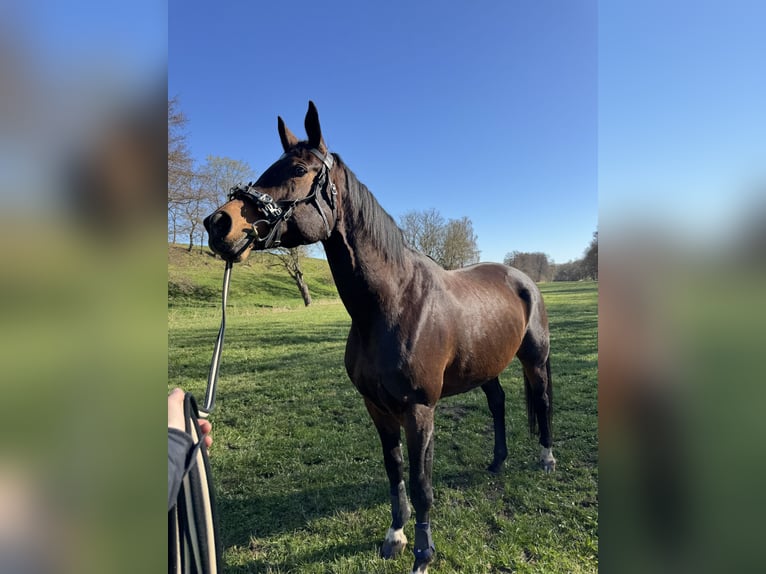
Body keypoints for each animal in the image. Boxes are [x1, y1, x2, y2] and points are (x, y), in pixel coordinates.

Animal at [203, 101, 555, 574]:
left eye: (297, 169)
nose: (218, 223)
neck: (393, 303)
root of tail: (522, 279)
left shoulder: (419, 411)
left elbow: (422, 484)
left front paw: (423, 554)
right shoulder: (377, 408)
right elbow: (395, 472)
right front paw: (395, 537)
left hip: (534, 360)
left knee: (543, 401)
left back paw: (546, 458)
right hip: (485, 366)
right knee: (497, 403)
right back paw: (498, 462)